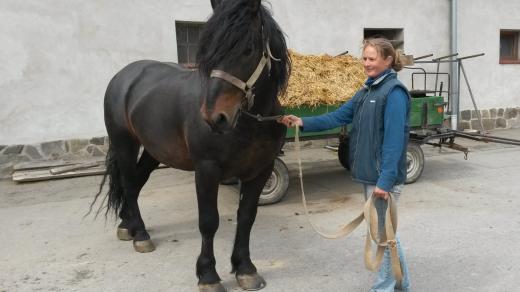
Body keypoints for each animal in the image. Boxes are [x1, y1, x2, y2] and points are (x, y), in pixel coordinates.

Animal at [91, 0, 290, 290]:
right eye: (209, 50)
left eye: (249, 49)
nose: (214, 118)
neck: (249, 123)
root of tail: (124, 76)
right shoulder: (207, 170)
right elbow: (209, 222)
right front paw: (208, 275)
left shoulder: (261, 170)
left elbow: (246, 217)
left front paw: (245, 269)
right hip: (124, 144)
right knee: (128, 183)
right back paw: (141, 235)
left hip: (153, 150)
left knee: (136, 183)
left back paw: (127, 225)